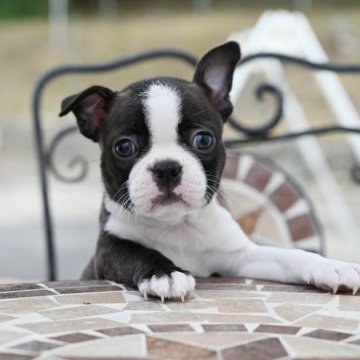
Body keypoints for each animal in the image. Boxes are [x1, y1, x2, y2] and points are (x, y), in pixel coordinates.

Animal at [59, 41, 360, 300]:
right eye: (124, 147)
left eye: (203, 140)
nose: (167, 168)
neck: (176, 226)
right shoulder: (107, 251)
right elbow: (138, 251)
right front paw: (166, 274)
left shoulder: (240, 255)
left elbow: (288, 255)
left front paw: (331, 266)